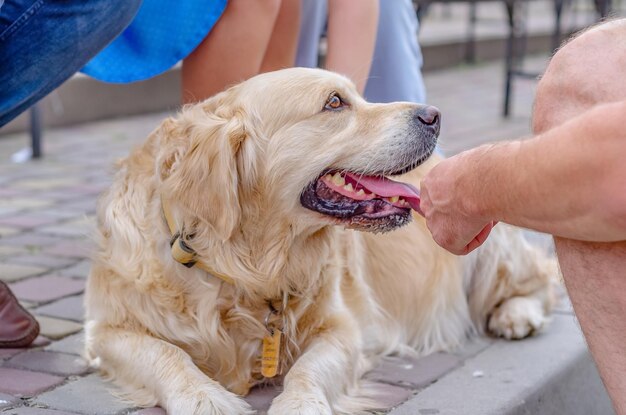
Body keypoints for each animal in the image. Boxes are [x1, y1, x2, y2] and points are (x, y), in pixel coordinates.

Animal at [85, 69, 552, 415]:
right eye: (334, 103)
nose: (433, 115)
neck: (245, 265)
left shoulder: (343, 328)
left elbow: (307, 370)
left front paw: (299, 404)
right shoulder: (106, 333)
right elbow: (167, 356)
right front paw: (205, 397)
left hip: (489, 244)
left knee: (540, 279)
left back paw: (516, 314)